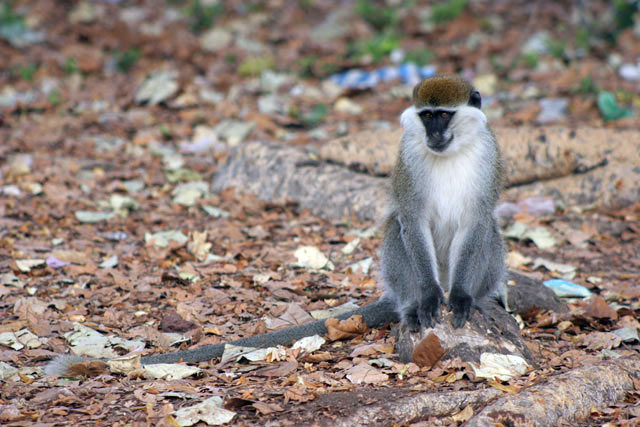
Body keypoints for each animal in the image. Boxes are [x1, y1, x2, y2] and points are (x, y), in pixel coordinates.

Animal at [45, 75, 504, 376]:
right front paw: (428, 298)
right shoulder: (409, 155)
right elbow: (410, 218)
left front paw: (462, 299)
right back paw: (412, 306)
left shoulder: (488, 156)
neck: (451, 152)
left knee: (491, 231)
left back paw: (478, 298)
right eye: (426, 116)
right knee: (397, 230)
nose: (434, 134)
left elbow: (478, 219)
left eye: (444, 115)